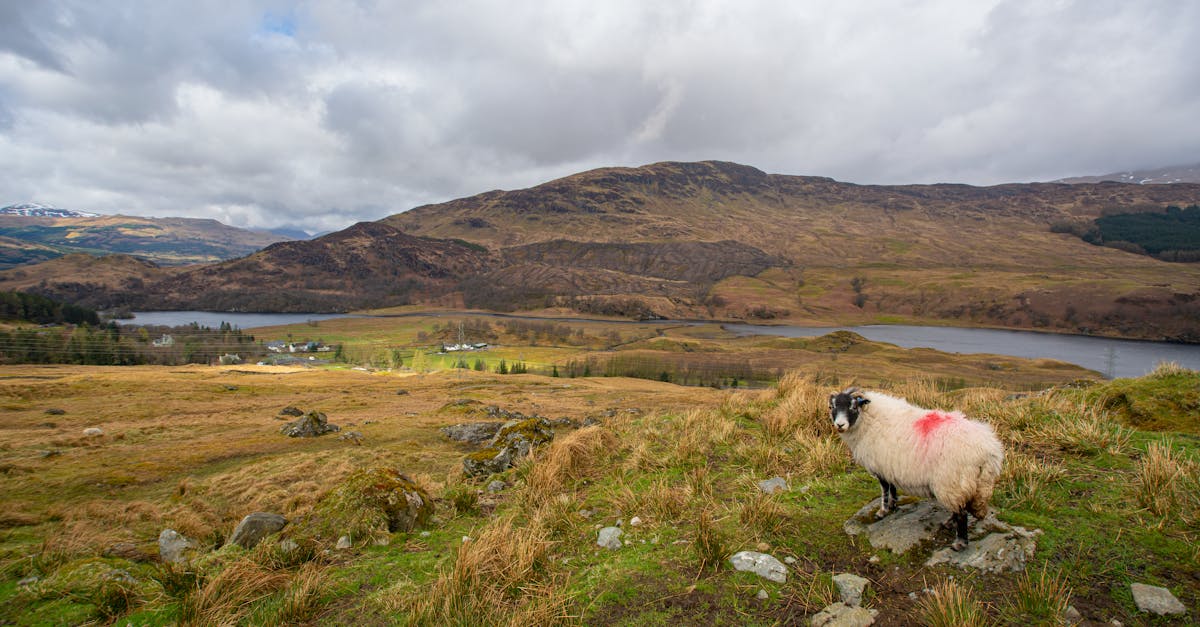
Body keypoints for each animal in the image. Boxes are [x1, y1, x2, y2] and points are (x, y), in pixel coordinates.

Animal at [825, 381, 1003, 550]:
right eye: (832, 407)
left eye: (853, 406)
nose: (840, 425)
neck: (868, 421)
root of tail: (988, 450)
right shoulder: (889, 465)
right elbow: (892, 488)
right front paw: (893, 505)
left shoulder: (880, 465)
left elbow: (884, 490)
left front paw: (882, 511)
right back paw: (949, 523)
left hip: (952, 481)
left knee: (961, 512)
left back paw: (959, 542)